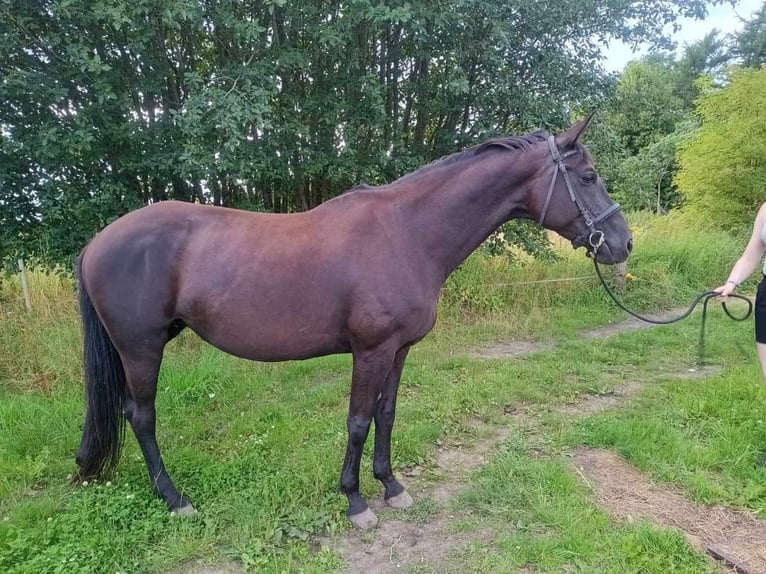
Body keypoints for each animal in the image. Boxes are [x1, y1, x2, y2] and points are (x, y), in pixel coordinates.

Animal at [75, 116, 632, 532]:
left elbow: (386, 415)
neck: (407, 234)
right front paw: (356, 501)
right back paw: (176, 499)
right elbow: (359, 421)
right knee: (141, 416)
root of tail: (98, 241)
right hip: (141, 348)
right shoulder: (371, 350)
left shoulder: (399, 349)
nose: (623, 243)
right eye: (587, 177)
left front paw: (392, 486)